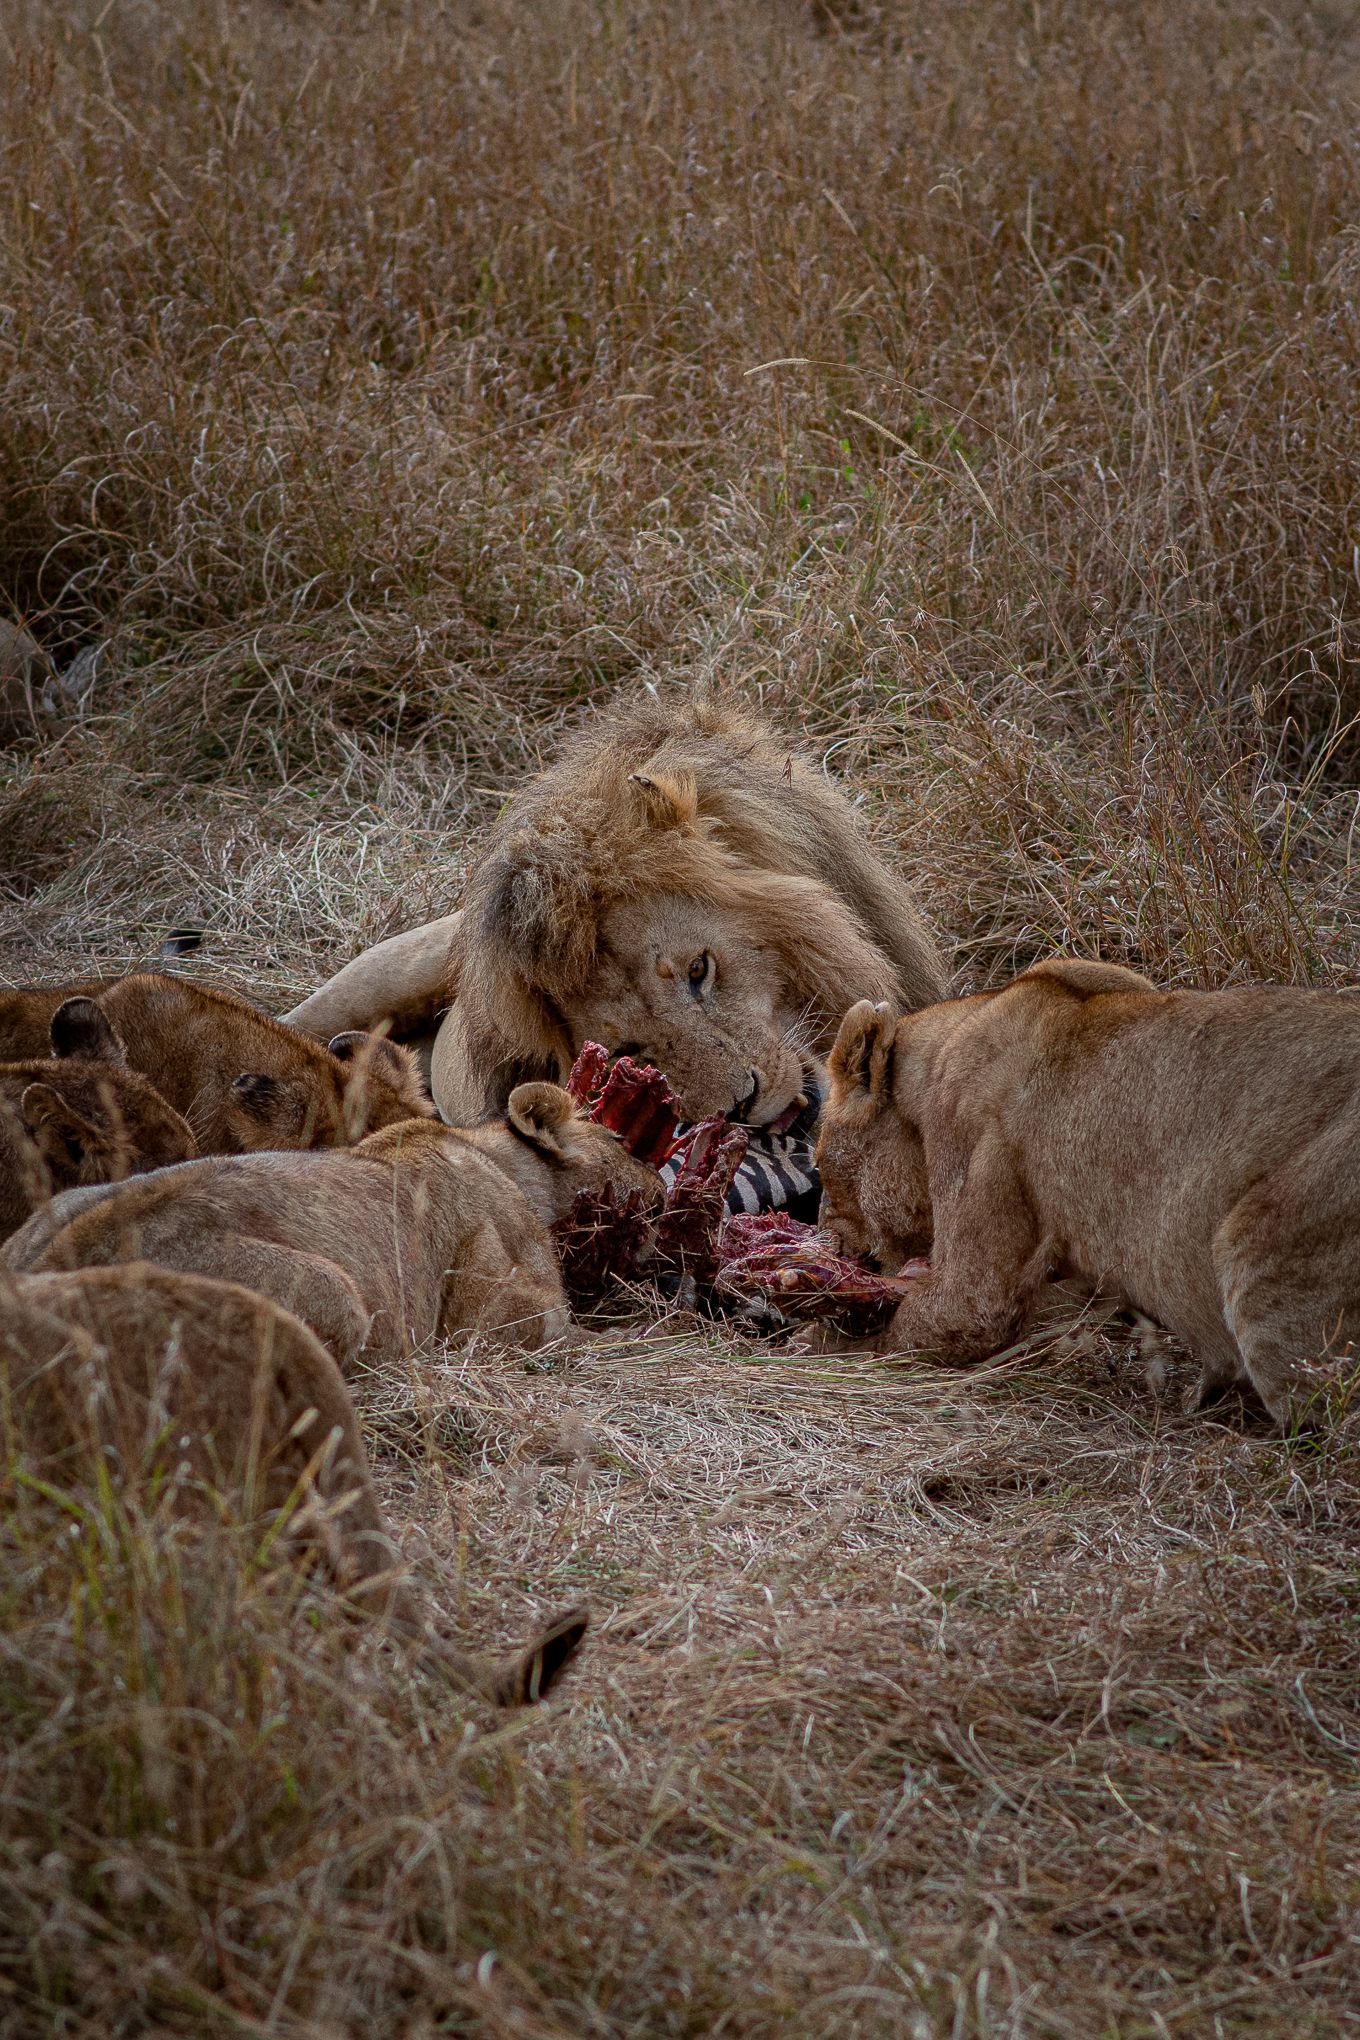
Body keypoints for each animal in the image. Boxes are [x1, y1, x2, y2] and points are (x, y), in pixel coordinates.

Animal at [815, 962, 1360, 1428]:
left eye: (819, 1169)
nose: (826, 1236)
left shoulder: (968, 1154)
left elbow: (950, 1314)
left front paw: (822, 1344)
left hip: (1259, 1243)